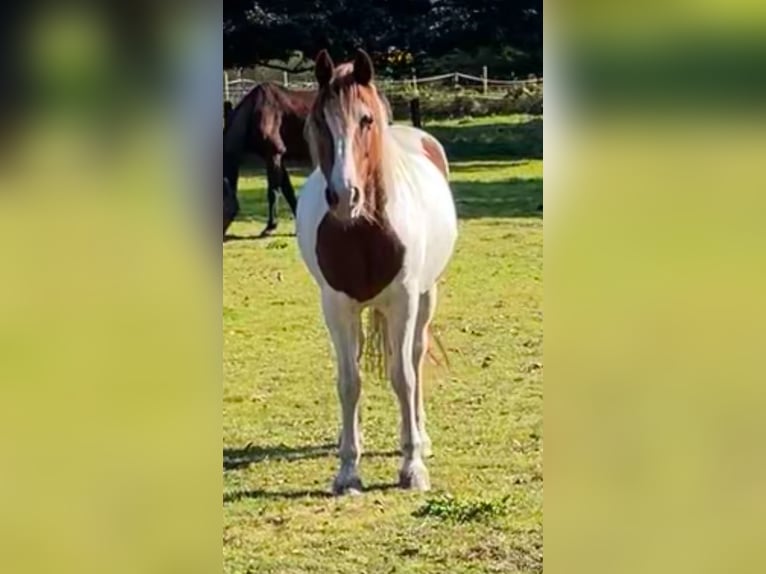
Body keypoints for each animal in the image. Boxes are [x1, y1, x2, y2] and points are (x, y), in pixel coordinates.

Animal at [296, 49, 457, 494]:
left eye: (366, 120)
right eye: (320, 121)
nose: (343, 195)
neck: (364, 230)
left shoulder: (403, 301)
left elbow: (403, 376)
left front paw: (412, 467)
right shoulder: (336, 306)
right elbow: (349, 381)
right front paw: (348, 470)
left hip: (426, 298)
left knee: (415, 358)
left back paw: (421, 434)